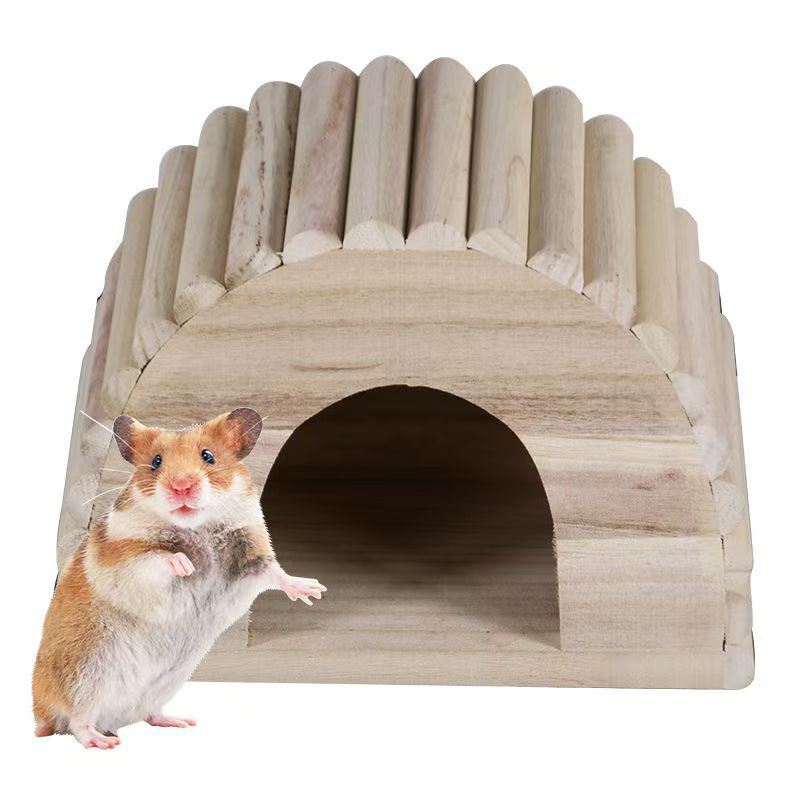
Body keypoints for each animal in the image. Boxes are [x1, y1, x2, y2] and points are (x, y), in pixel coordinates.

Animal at [33, 408, 325, 749]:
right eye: (156, 461)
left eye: (208, 456)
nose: (181, 487)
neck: (197, 527)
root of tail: (41, 712)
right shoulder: (124, 558)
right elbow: (156, 558)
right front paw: (185, 565)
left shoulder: (251, 556)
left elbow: (276, 573)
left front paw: (314, 590)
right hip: (86, 674)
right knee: (77, 722)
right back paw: (103, 742)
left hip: (164, 683)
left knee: (147, 713)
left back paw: (180, 722)